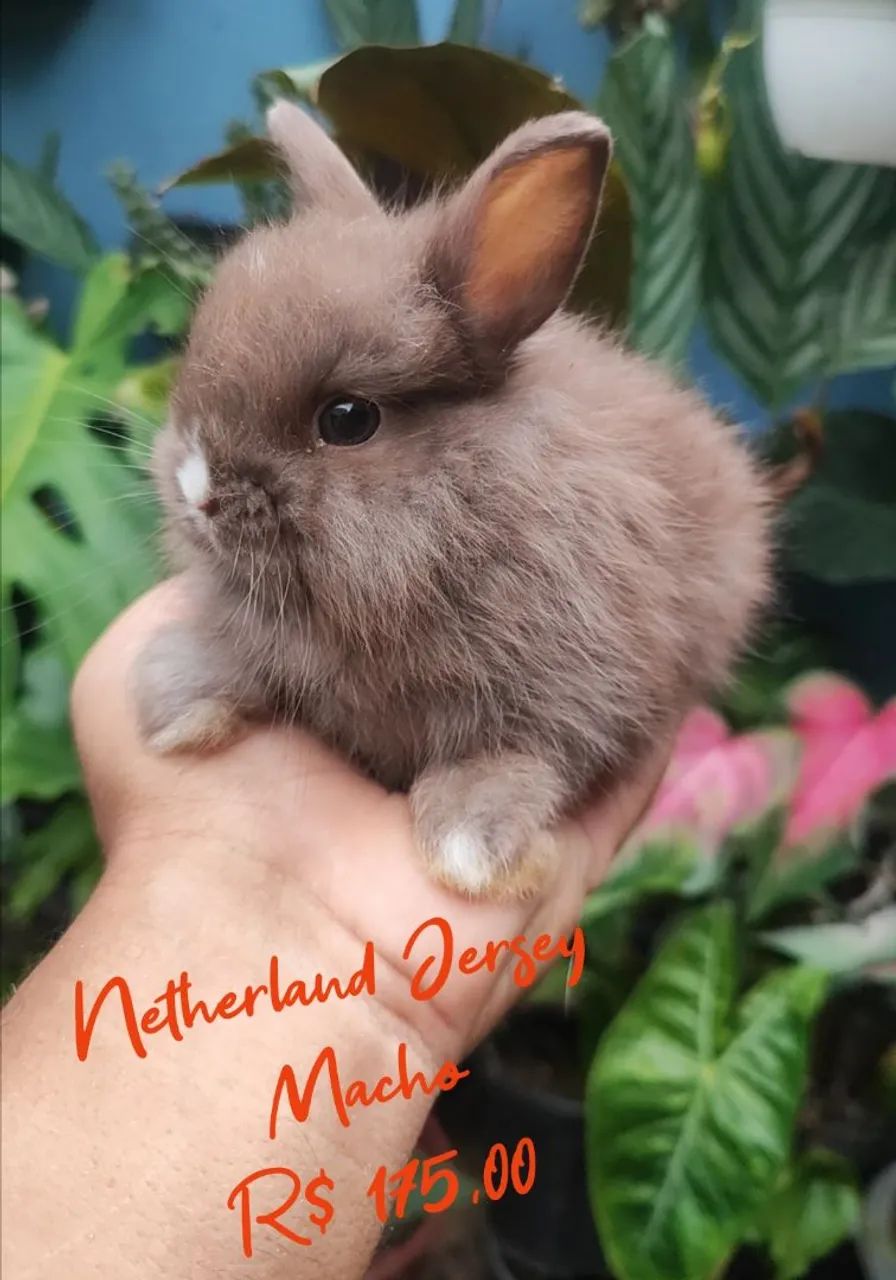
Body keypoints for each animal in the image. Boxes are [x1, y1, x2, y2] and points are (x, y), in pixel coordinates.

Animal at [134, 101, 771, 899]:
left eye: (348, 419)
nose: (198, 489)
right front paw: (174, 699)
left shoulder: (574, 684)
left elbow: (520, 752)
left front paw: (470, 846)